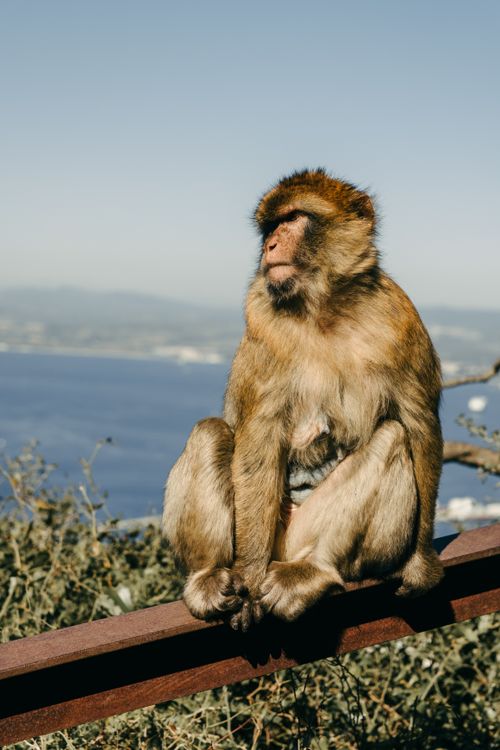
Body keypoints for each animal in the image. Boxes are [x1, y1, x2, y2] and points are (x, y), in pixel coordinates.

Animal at [162, 168, 444, 631]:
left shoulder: (402, 319)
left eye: (293, 218)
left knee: (392, 437)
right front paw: (249, 577)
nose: (270, 246)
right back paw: (209, 576)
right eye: (269, 227)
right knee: (210, 433)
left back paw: (316, 570)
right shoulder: (262, 323)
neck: (326, 308)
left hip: (307, 538)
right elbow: (258, 443)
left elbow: (420, 425)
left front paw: (421, 563)